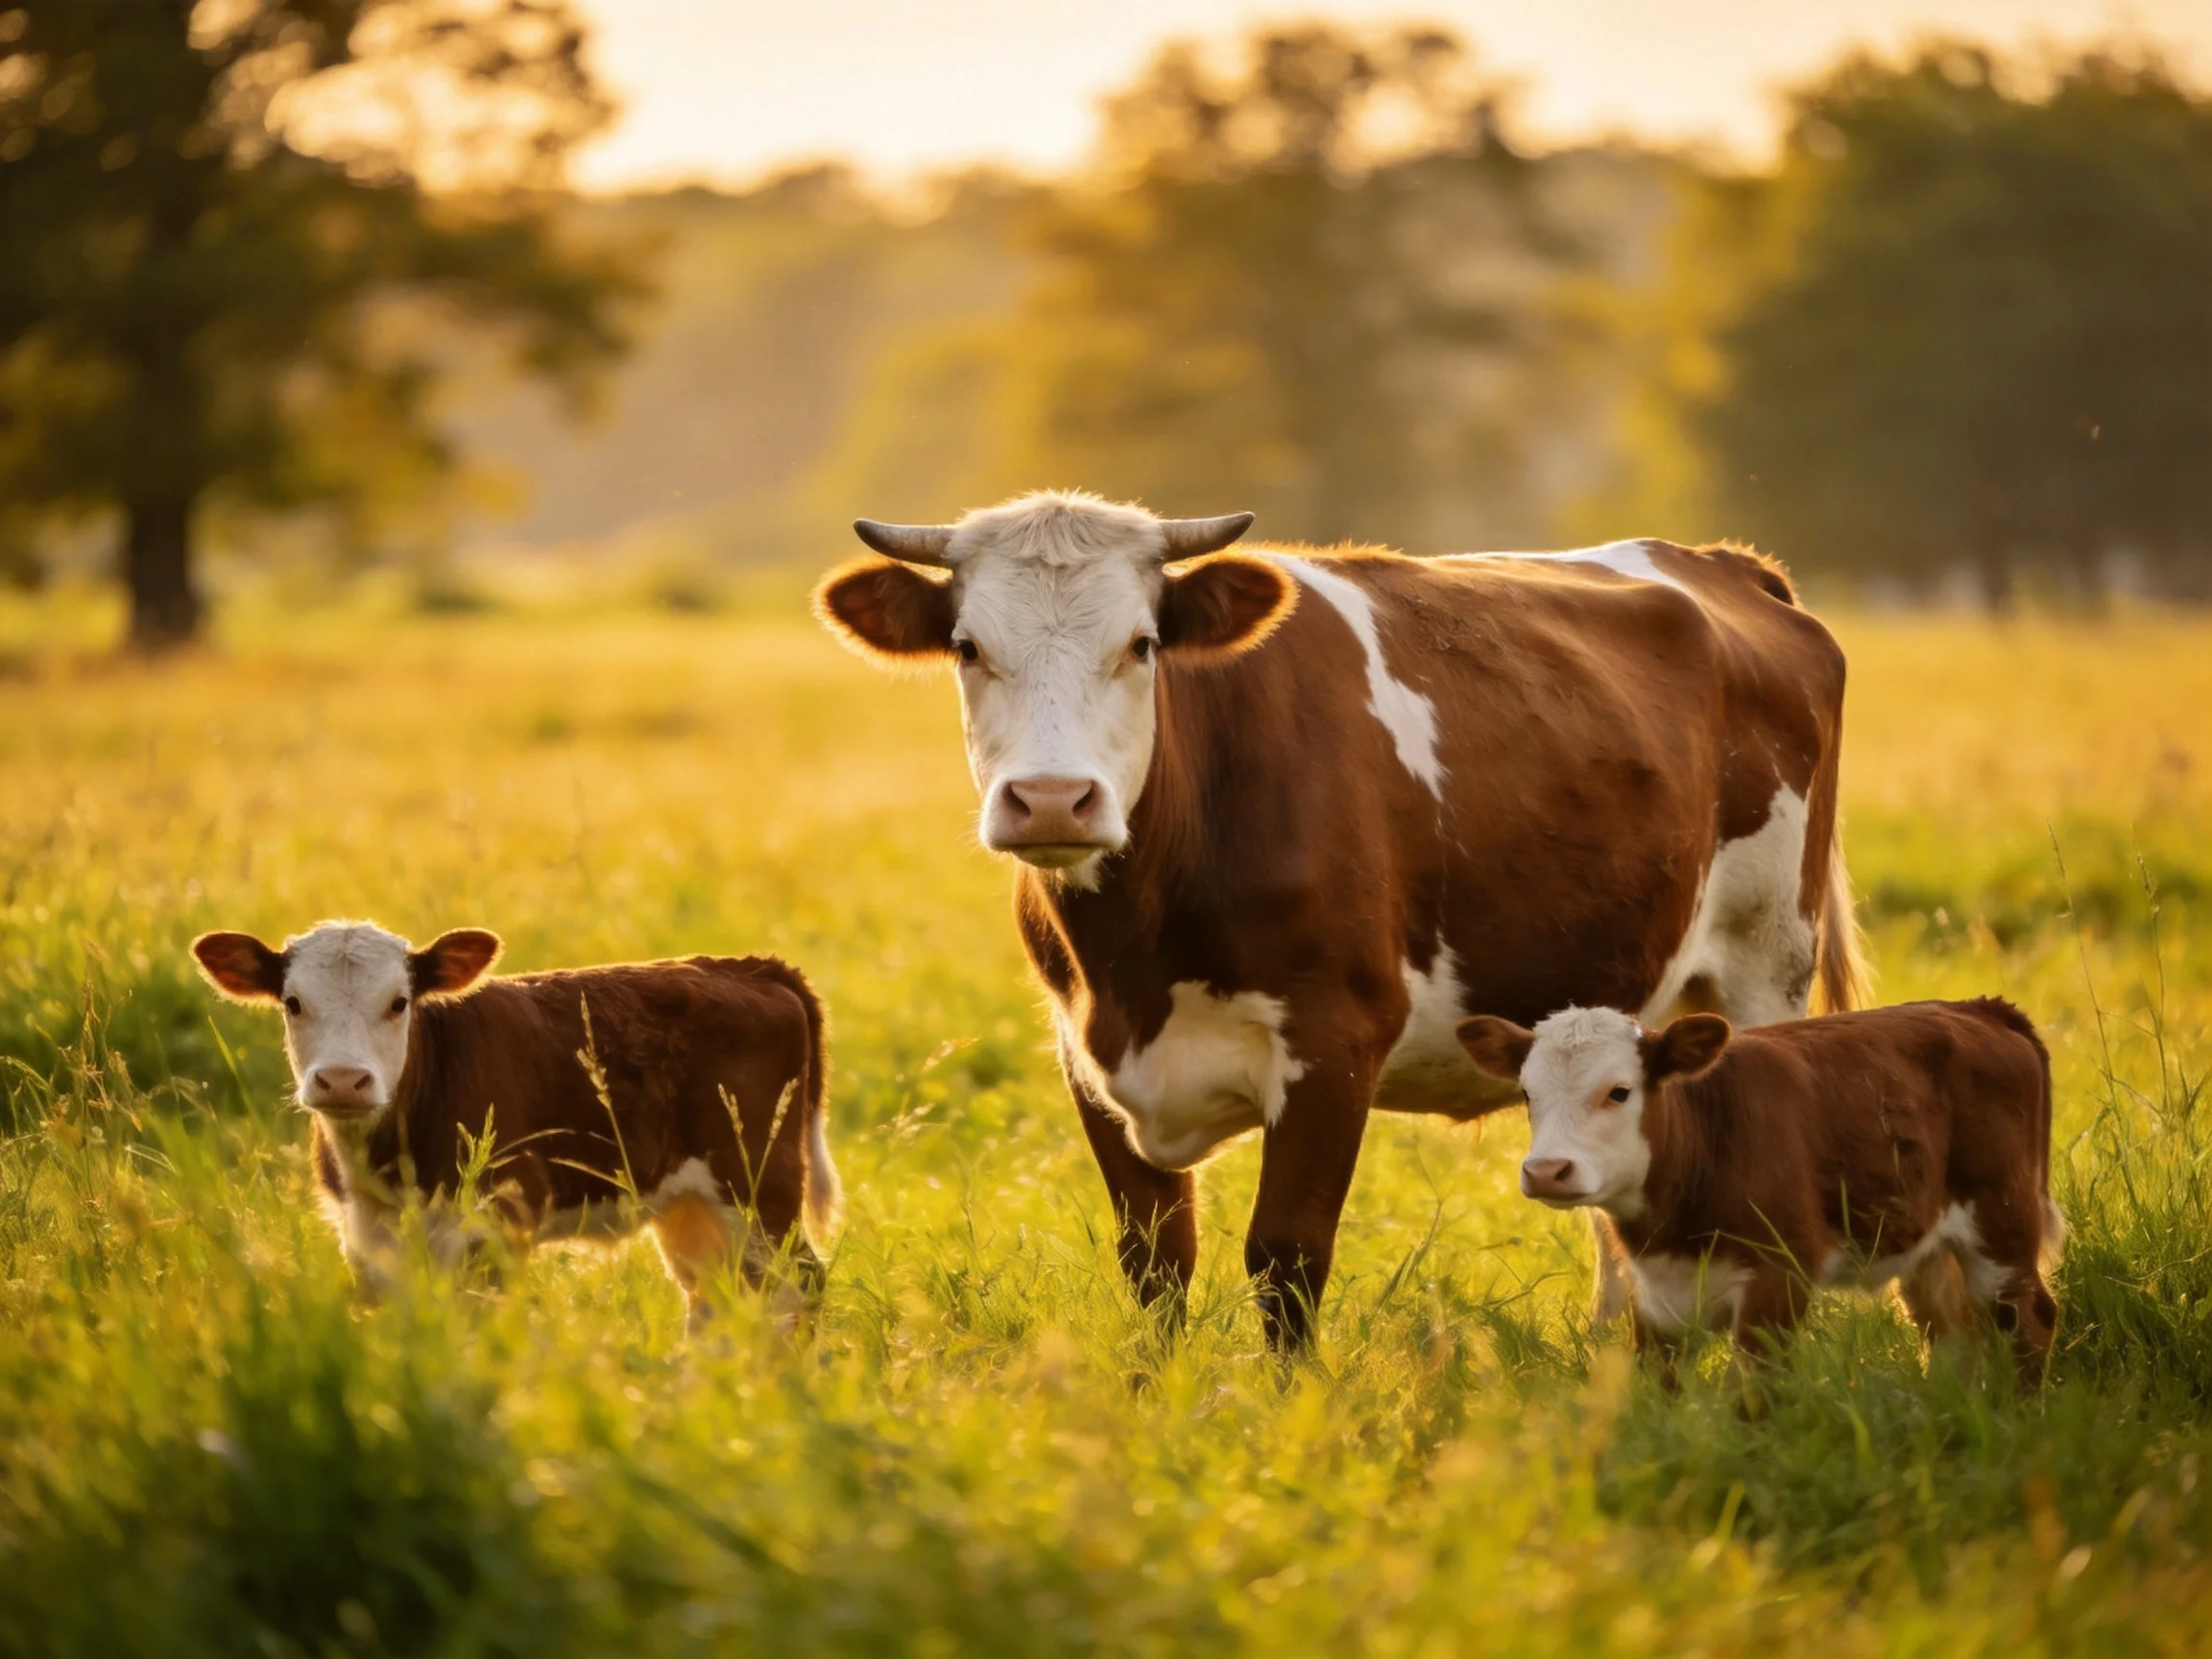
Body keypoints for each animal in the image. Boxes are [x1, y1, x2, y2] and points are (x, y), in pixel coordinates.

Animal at [190, 921, 840, 1326]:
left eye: (399, 1002)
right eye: (293, 1003)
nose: (345, 1080)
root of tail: (748, 966)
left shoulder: (501, 1216)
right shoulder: (363, 1230)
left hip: (758, 1184)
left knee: (798, 1283)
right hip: (690, 1203)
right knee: (713, 1296)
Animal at [812, 489, 1861, 1349]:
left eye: (1142, 644)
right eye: (968, 647)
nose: (1051, 800)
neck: (1137, 960)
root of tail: (1719, 562)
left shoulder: (1335, 1044)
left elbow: (1286, 1259)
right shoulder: (1086, 1055)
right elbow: (1154, 1264)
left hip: (1765, 962)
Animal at [1456, 999, 2062, 1386]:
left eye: (1619, 1092)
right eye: (1527, 1094)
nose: (1546, 1170)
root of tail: (1979, 1008)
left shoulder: (1779, 1278)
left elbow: (1752, 1396)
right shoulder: (1655, 1304)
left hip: (2000, 1223)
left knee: (2029, 1318)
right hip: (1928, 1246)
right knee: (1953, 1332)